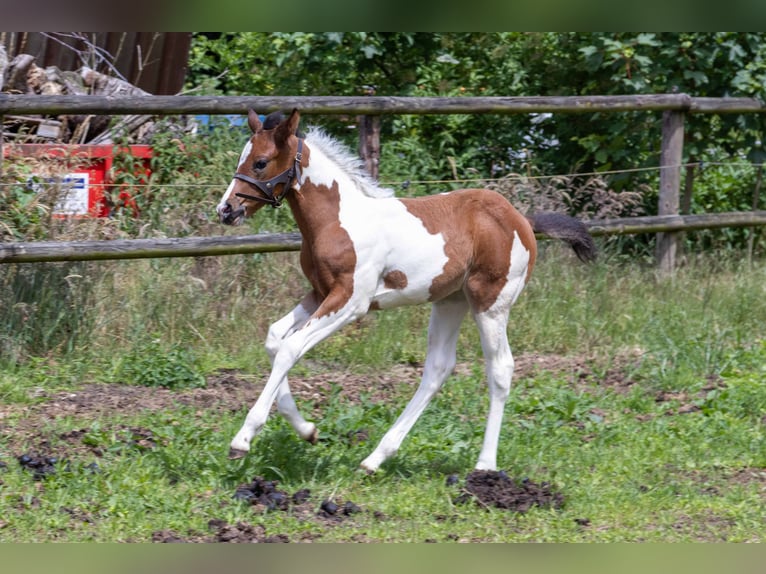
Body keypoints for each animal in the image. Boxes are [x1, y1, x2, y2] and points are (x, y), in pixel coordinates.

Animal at [216, 108, 595, 473]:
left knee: (500, 368)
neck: (339, 219)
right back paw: (375, 459)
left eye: (261, 162)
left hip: (491, 303)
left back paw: (485, 465)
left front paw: (243, 439)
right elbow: (274, 338)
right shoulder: (319, 293)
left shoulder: (351, 301)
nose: (226, 209)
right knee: (438, 368)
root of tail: (523, 221)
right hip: (450, 301)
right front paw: (308, 430)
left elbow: (290, 348)